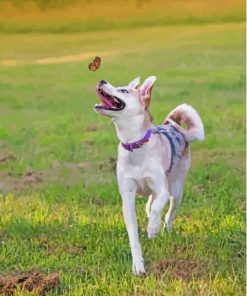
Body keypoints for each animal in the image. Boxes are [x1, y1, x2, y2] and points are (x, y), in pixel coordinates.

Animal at [93, 76, 205, 276]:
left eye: (123, 90)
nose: (102, 80)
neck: (134, 145)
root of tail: (172, 127)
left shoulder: (162, 189)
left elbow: (158, 208)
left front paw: (152, 228)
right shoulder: (127, 198)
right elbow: (134, 236)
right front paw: (138, 265)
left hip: (176, 190)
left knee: (168, 212)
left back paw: (163, 228)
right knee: (149, 205)